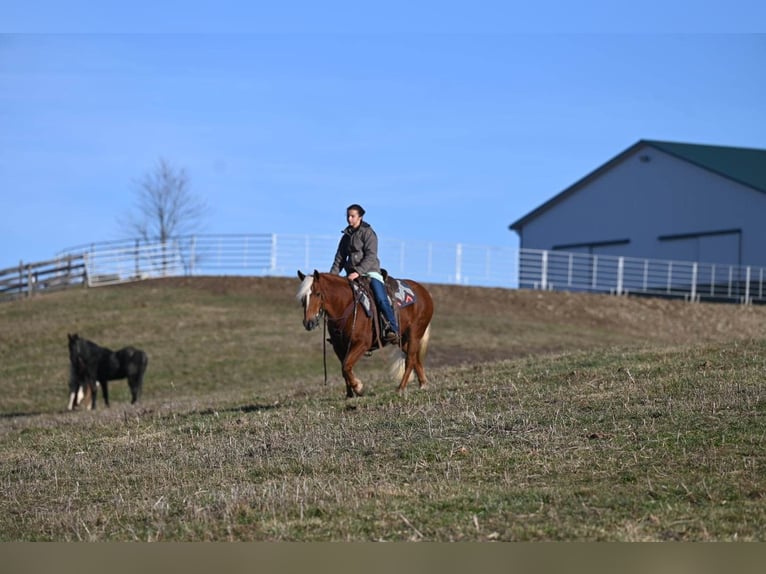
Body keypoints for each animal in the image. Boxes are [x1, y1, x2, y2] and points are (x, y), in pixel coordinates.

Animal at [296, 272, 436, 398]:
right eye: (303, 298)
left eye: (318, 293)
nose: (308, 322)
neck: (346, 305)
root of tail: (424, 292)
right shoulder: (339, 347)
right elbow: (344, 368)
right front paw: (350, 394)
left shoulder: (361, 344)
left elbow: (346, 366)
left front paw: (358, 388)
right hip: (404, 339)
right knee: (415, 357)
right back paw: (423, 384)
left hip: (415, 333)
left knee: (410, 359)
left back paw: (401, 388)